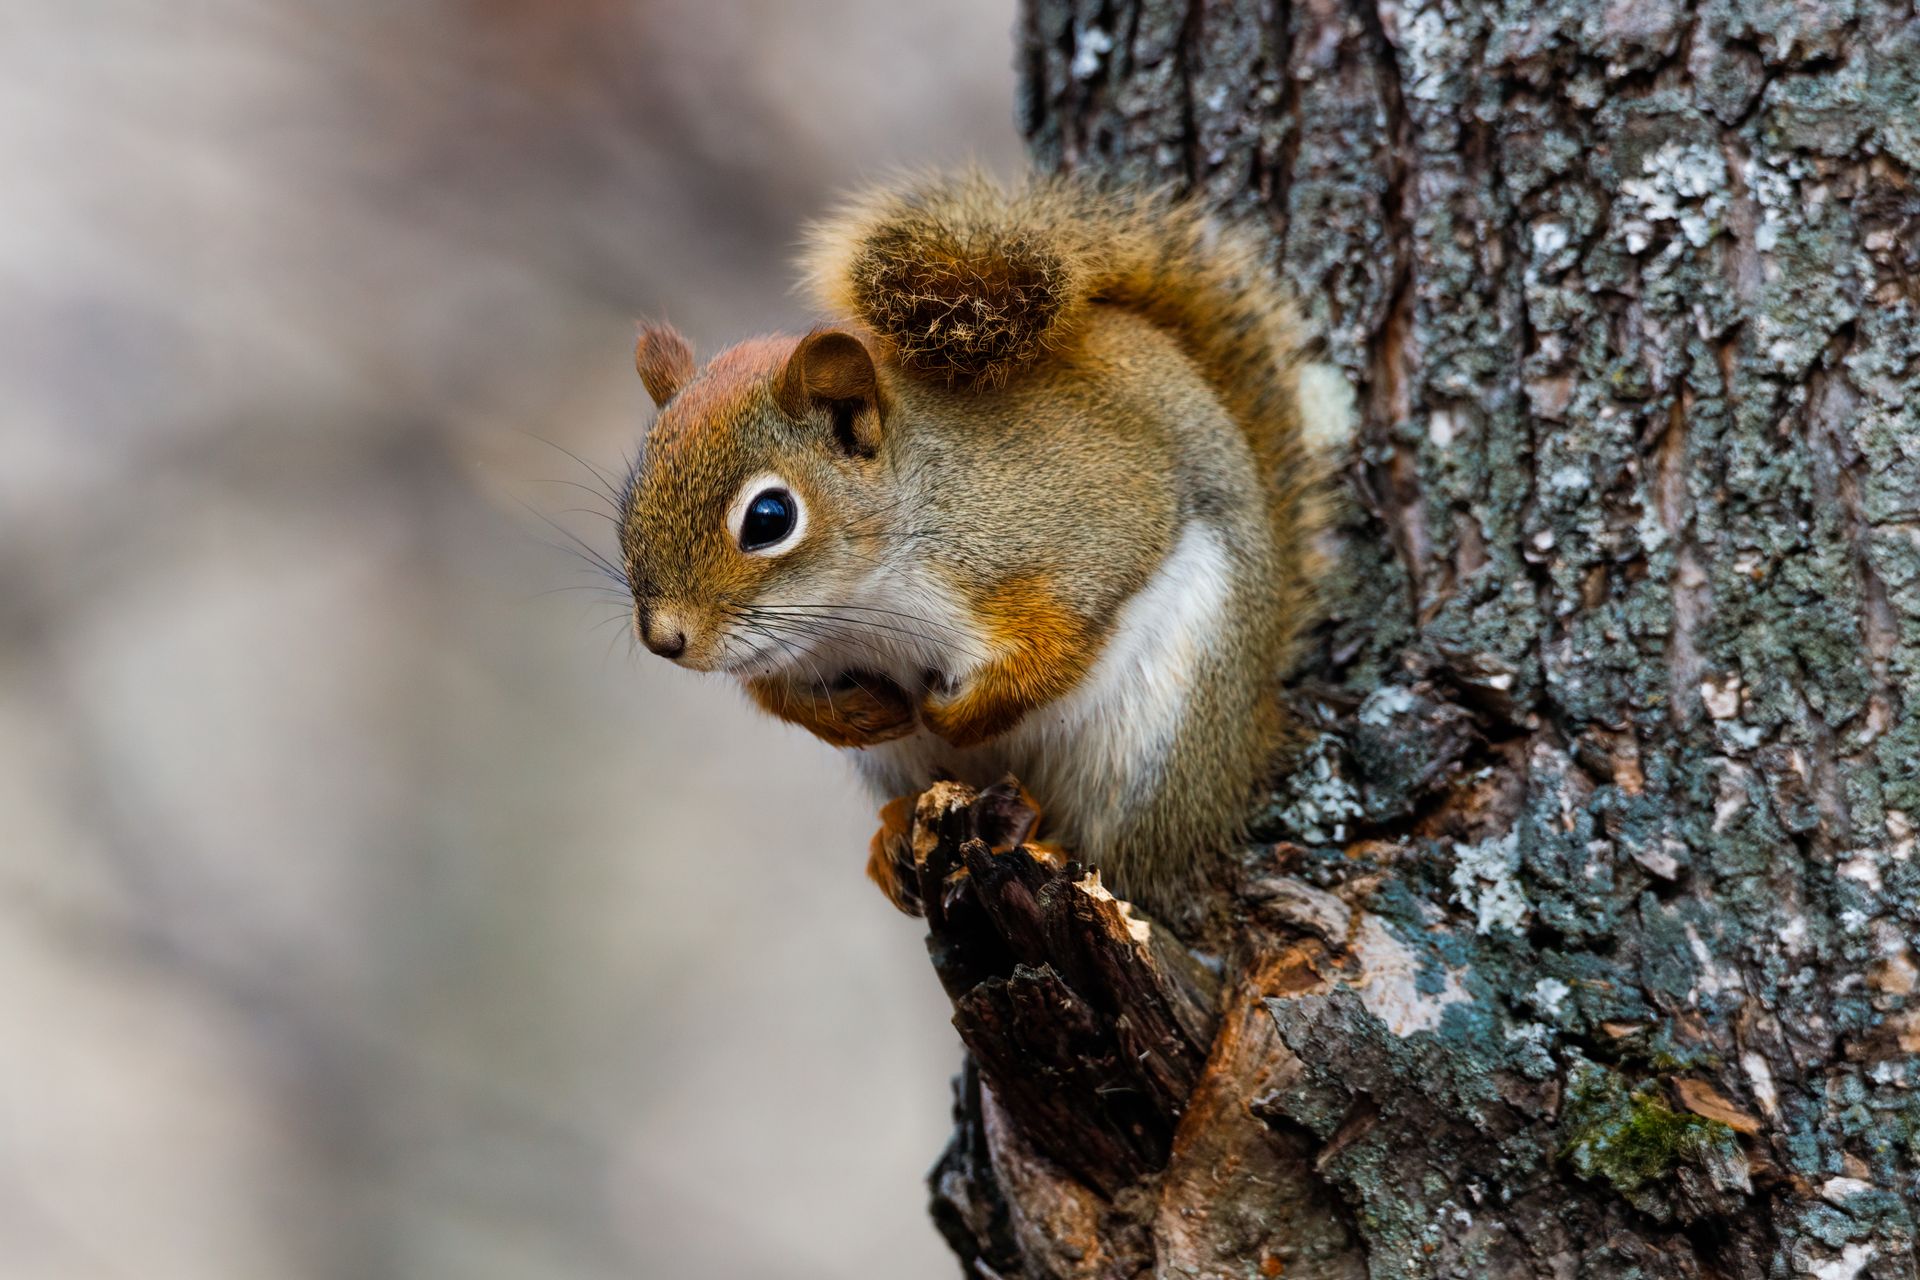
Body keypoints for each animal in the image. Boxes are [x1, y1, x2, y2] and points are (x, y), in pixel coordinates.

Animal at [618, 171, 1349, 918]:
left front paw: (957, 713)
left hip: (1156, 742)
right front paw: (860, 714)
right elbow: (779, 696)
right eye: (630, 497)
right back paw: (892, 842)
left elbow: (1062, 641)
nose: (666, 640)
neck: (858, 606)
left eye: (769, 517)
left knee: (1124, 851)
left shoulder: (1077, 531)